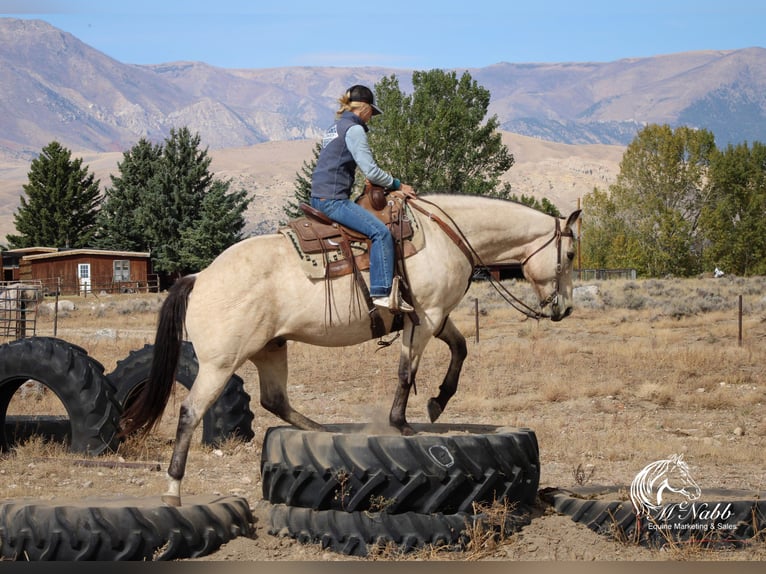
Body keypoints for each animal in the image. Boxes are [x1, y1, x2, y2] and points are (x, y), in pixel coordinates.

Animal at [123, 195, 584, 508]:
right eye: (570, 253)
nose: (564, 308)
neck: (446, 236)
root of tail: (199, 277)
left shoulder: (435, 316)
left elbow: (461, 347)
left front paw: (438, 401)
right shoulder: (426, 316)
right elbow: (406, 373)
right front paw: (402, 424)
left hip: (271, 348)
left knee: (275, 400)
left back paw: (323, 431)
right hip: (220, 364)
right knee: (191, 412)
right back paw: (173, 489)